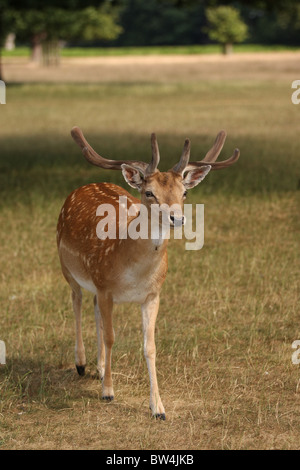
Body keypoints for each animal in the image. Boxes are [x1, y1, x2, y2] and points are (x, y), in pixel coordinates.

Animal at [56, 127, 239, 418]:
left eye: (184, 194)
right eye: (149, 193)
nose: (178, 218)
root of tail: (82, 187)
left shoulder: (153, 294)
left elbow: (149, 347)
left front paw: (158, 407)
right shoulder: (106, 287)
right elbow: (111, 337)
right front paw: (108, 392)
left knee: (92, 308)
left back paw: (99, 367)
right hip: (67, 267)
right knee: (77, 301)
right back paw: (81, 363)